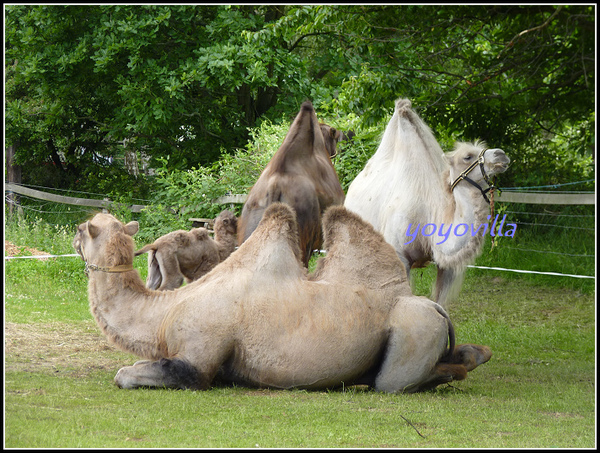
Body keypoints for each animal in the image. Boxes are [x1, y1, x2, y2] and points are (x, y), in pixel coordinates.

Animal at [71, 203, 492, 390]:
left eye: (81, 228)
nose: (73, 235)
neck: (164, 314)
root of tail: (436, 307)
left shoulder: (198, 357)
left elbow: (126, 375)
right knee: (460, 355)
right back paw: (475, 354)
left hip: (413, 328)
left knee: (393, 381)